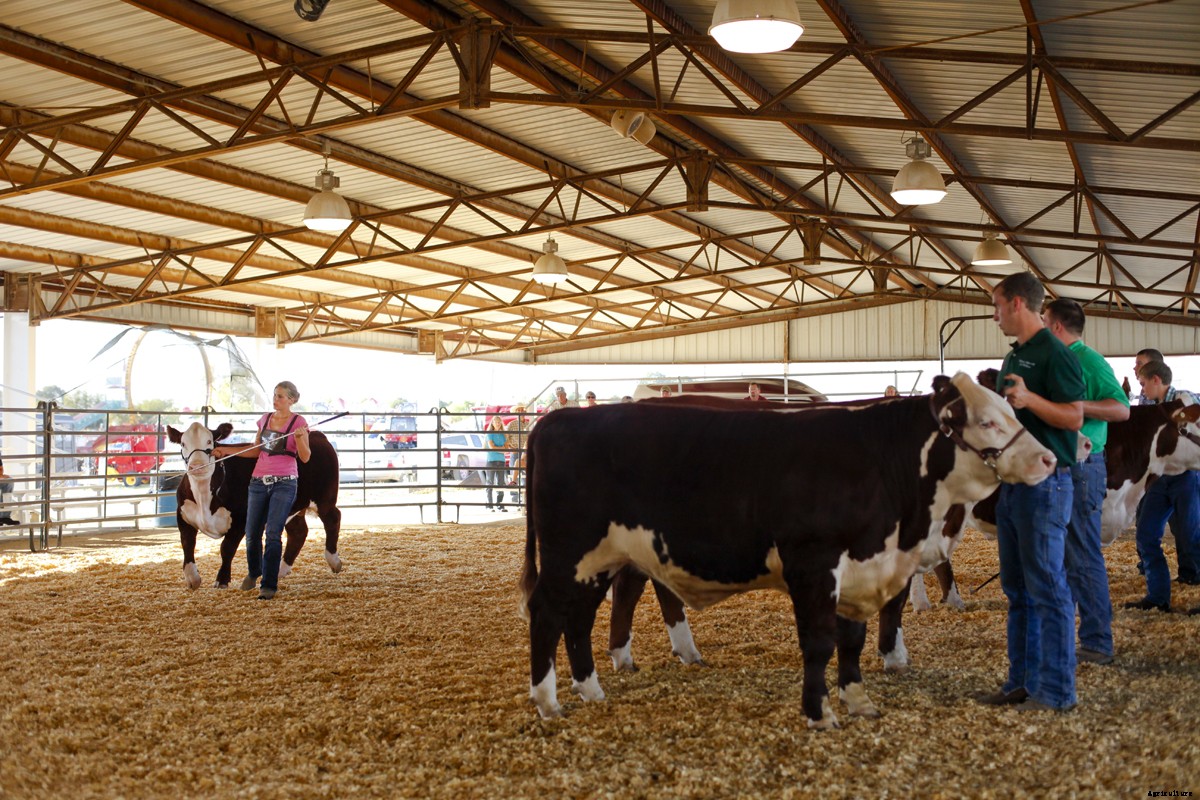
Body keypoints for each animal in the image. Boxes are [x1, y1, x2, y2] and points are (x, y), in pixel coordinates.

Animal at [165, 421, 343, 589]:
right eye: (183, 443)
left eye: (210, 441)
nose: (196, 466)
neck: (204, 498)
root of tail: (317, 435)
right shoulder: (183, 516)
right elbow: (187, 545)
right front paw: (192, 579)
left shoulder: (241, 519)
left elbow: (226, 548)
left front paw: (222, 580)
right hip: (291, 506)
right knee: (298, 532)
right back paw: (280, 570)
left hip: (325, 498)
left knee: (333, 518)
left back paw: (334, 561)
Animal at [518, 373, 1055, 727]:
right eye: (986, 421)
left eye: (1012, 410)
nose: (1049, 458)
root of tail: (556, 420)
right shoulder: (813, 563)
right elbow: (819, 642)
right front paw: (819, 713)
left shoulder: (860, 567)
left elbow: (852, 639)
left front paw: (858, 701)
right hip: (569, 553)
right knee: (547, 612)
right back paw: (548, 701)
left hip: (600, 560)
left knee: (580, 617)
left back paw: (592, 689)